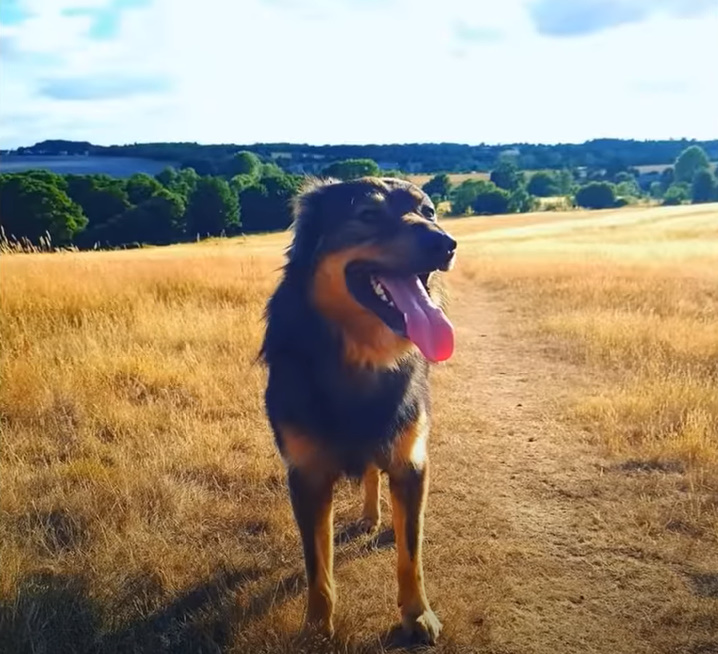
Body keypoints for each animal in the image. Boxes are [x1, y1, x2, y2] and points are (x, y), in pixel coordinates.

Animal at [262, 177, 458, 648]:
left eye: (428, 212)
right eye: (368, 215)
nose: (445, 244)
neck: (363, 358)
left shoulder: (410, 462)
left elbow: (411, 553)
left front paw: (417, 614)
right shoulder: (307, 476)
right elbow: (318, 565)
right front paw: (317, 629)